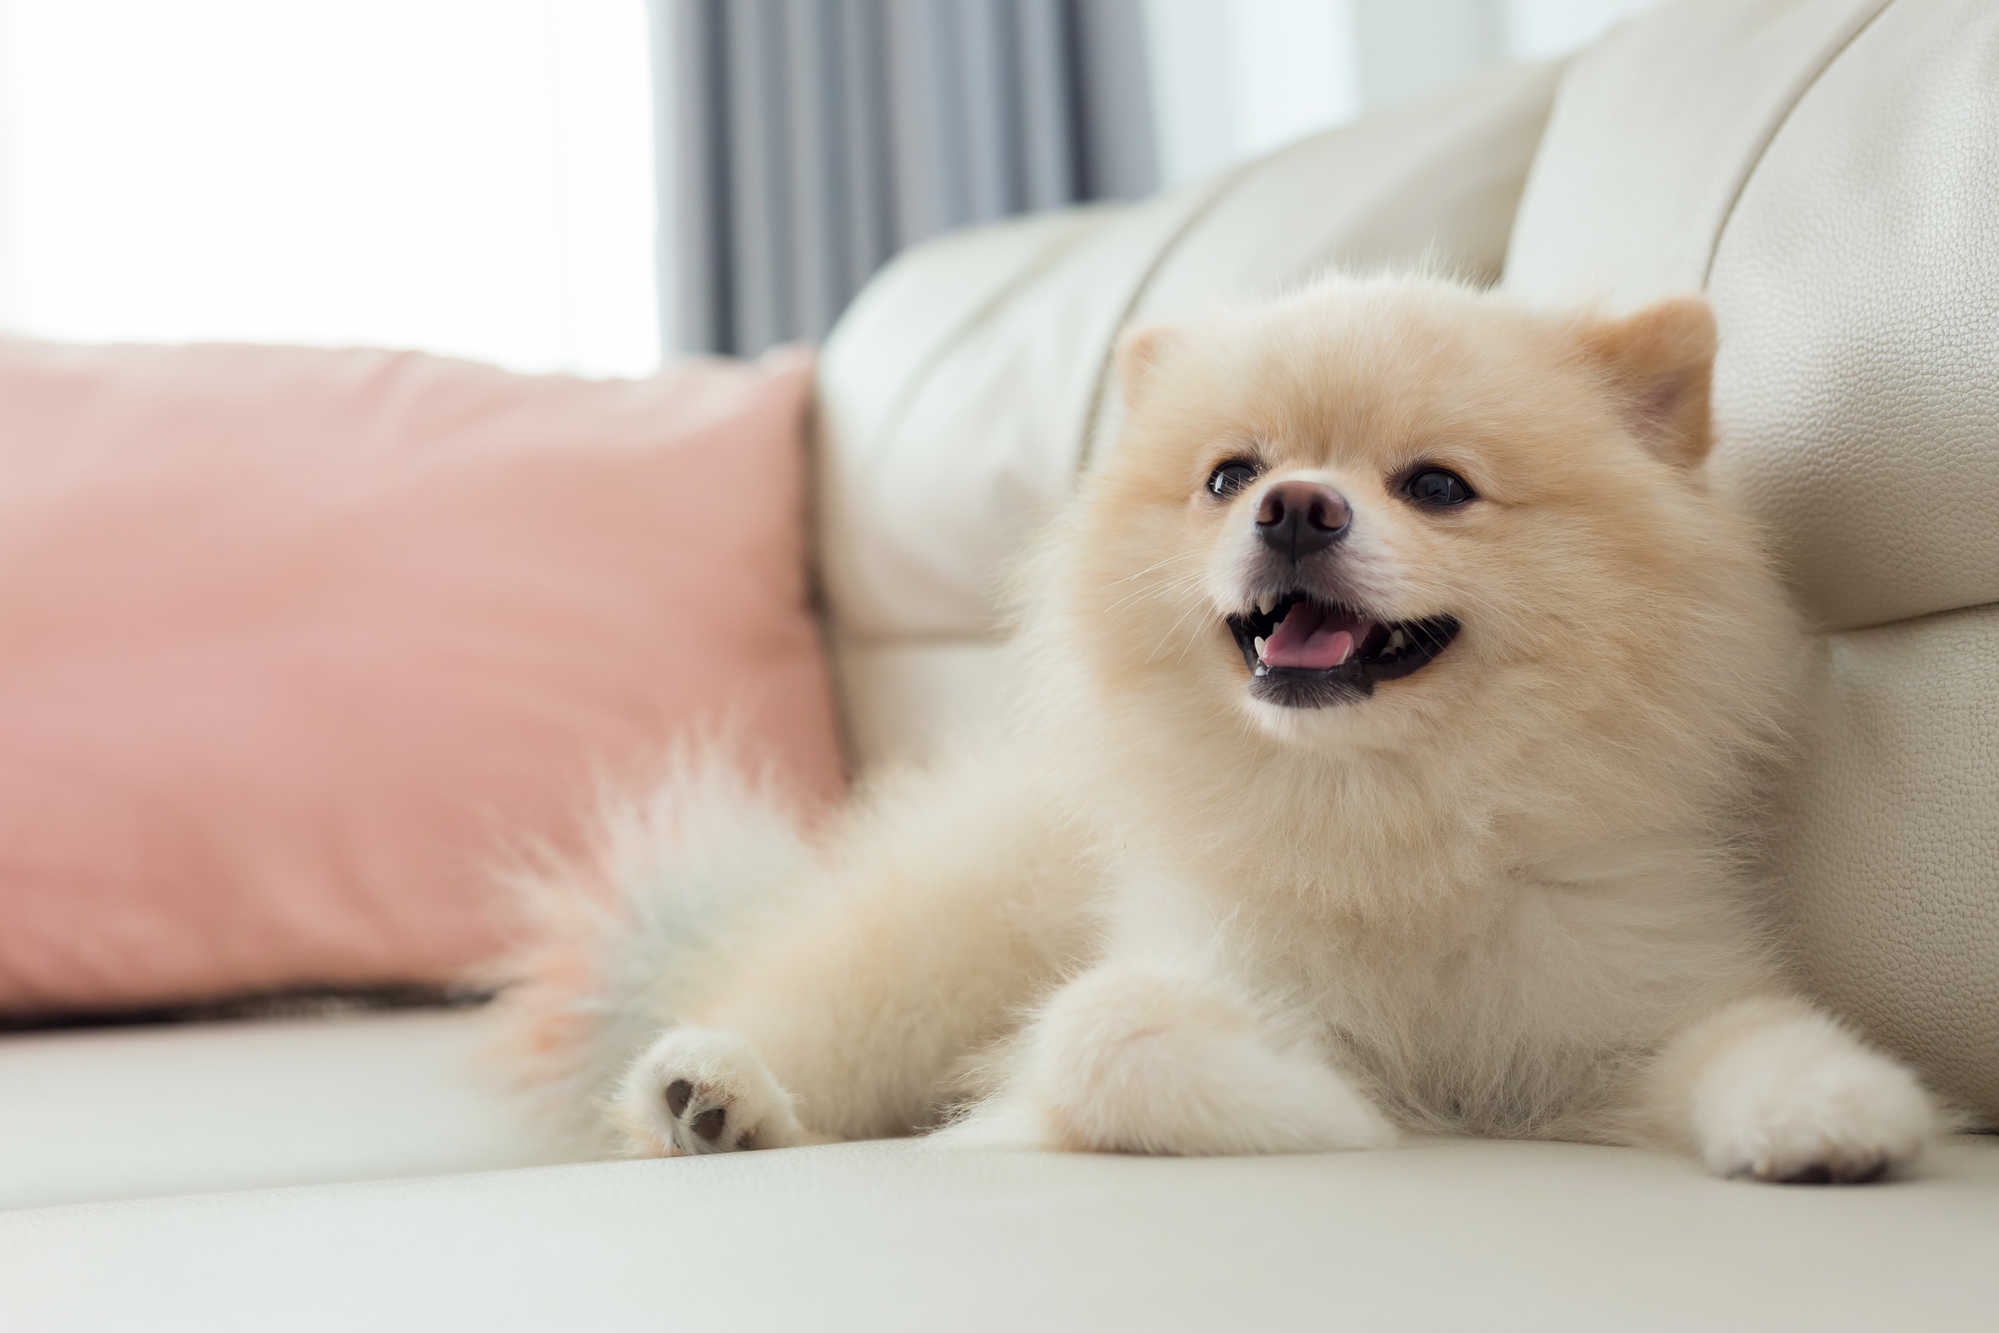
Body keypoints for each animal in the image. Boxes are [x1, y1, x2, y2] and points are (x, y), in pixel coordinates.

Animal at [499, 275, 1935, 1183]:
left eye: (1436, 486)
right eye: (1227, 474)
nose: (1295, 505)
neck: (1386, 814)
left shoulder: (1626, 1003)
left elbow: (1752, 1034)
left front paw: (1836, 1108)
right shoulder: (1181, 966)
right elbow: (1103, 1035)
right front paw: (1345, 1109)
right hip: (938, 949)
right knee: (801, 1016)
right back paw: (709, 1090)